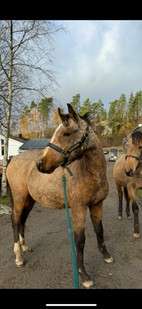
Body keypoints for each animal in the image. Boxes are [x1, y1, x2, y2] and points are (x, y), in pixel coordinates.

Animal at [6, 103, 113, 286]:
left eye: (66, 133)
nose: (40, 164)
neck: (90, 172)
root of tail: (12, 160)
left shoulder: (97, 205)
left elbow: (99, 230)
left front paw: (106, 256)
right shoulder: (78, 209)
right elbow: (80, 241)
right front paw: (83, 275)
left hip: (29, 200)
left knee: (22, 221)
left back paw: (24, 247)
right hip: (19, 198)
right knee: (15, 222)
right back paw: (19, 257)